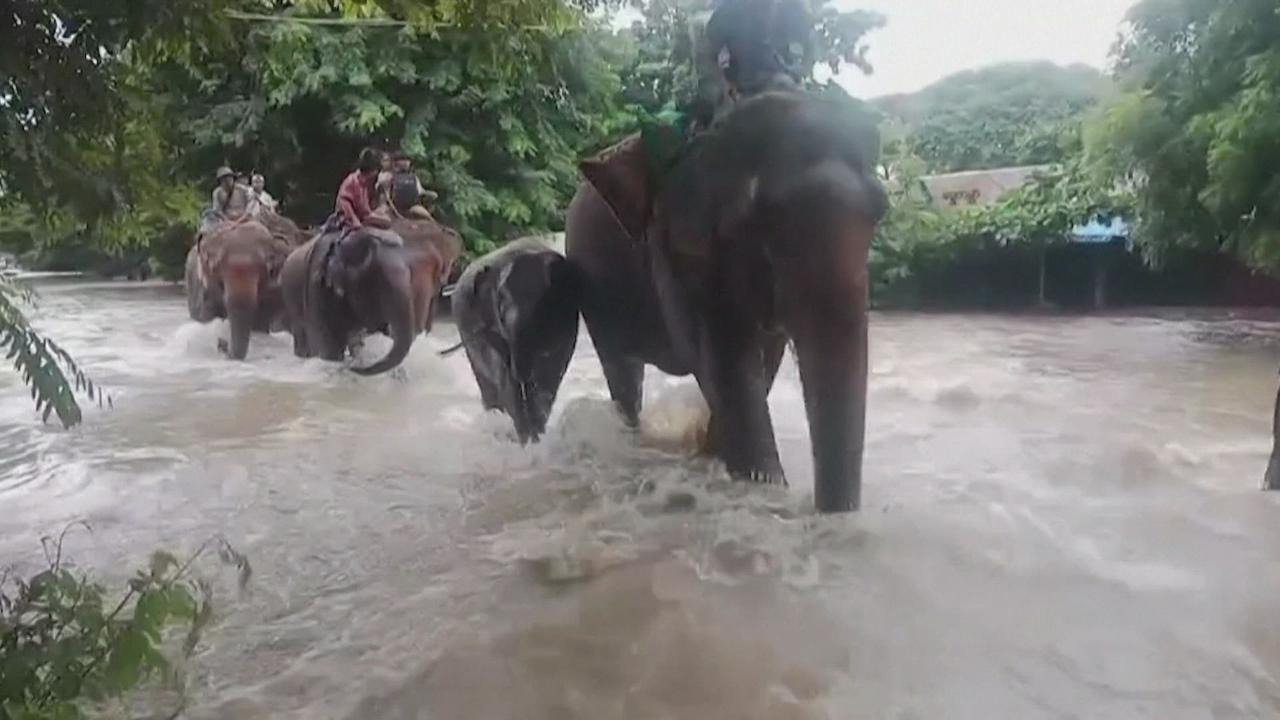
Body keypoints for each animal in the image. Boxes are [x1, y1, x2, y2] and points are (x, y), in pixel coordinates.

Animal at [440, 235, 581, 443]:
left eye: (543, 306)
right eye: (500, 306)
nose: (522, 375)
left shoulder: (567, 324)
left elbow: (549, 374)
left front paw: (536, 440)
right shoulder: (490, 326)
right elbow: (507, 380)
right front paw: (528, 443)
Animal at [565, 89, 885, 512]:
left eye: (881, 209)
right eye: (759, 218)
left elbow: (760, 364)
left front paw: (715, 459)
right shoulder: (682, 257)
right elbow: (727, 364)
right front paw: (758, 488)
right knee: (622, 372)